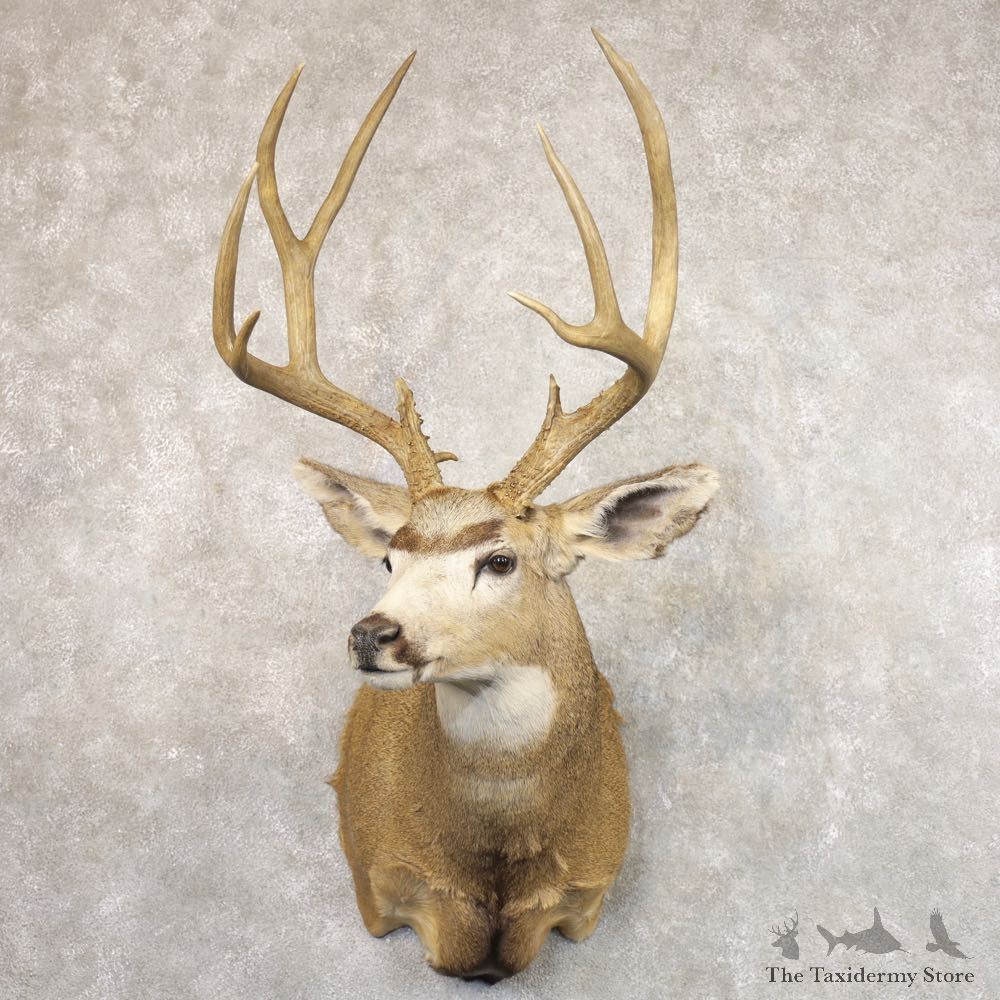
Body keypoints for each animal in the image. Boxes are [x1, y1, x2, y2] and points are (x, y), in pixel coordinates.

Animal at [213, 29, 718, 983]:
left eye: (500, 558)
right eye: (390, 555)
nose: (372, 634)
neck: (494, 867)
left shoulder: (591, 894)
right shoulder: (379, 888)